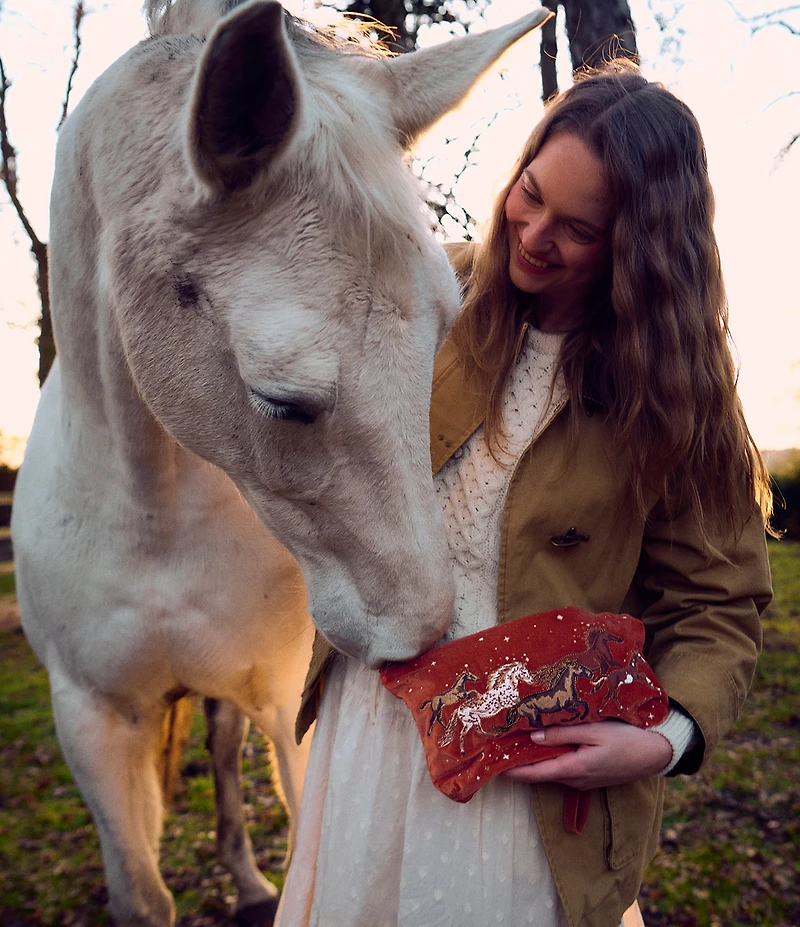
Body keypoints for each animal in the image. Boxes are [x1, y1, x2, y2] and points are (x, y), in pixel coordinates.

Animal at [9, 1, 550, 924]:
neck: (152, 515)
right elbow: (142, 896)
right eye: (281, 400)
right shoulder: (90, 724)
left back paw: (247, 878)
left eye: (446, 333)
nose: (420, 641)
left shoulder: (281, 696)